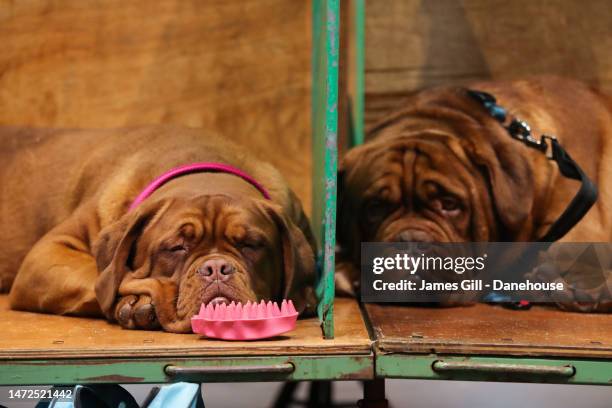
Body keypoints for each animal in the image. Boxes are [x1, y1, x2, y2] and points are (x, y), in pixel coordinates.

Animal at [0, 126, 318, 334]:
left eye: (250, 244)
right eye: (177, 247)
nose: (216, 267)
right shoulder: (47, 254)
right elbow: (101, 278)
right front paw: (137, 302)